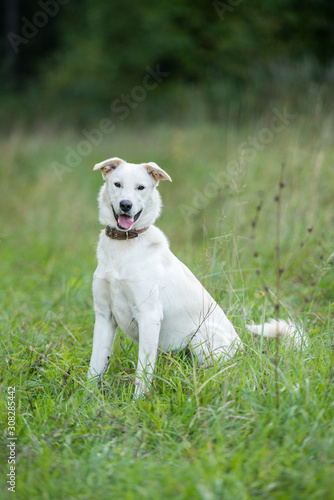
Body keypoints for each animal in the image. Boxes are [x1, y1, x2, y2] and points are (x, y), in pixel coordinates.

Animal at [88, 158, 306, 396]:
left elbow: (142, 373)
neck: (124, 244)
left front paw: (138, 401)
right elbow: (95, 366)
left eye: (141, 187)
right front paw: (86, 397)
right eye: (117, 184)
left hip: (199, 334)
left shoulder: (149, 316)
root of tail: (245, 352)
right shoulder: (104, 316)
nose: (125, 205)